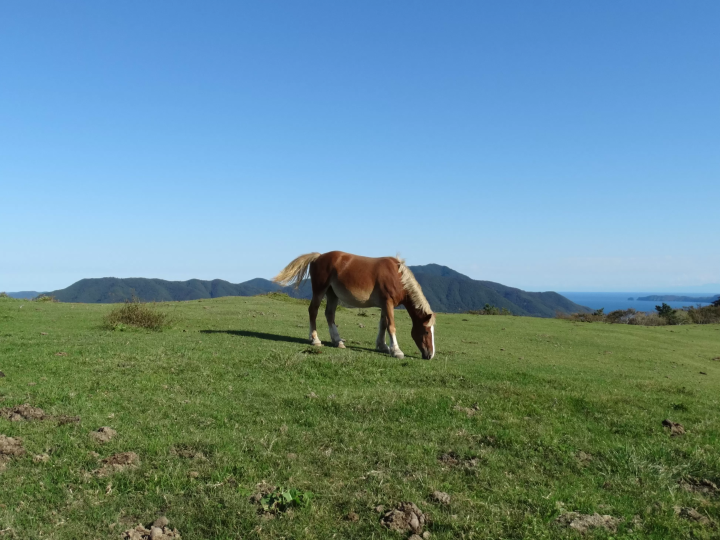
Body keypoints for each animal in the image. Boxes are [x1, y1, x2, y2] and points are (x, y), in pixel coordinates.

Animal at [273, 251, 436, 360]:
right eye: (426, 332)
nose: (430, 355)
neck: (398, 277)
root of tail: (318, 256)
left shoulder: (384, 305)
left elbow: (383, 324)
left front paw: (382, 346)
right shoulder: (388, 303)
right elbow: (391, 326)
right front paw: (396, 350)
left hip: (332, 294)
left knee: (329, 314)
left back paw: (338, 341)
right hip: (320, 290)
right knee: (313, 311)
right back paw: (315, 340)